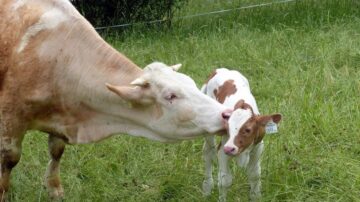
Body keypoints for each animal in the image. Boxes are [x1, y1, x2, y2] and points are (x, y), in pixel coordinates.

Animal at [0, 0, 231, 200]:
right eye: (170, 96)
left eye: (191, 83)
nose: (227, 114)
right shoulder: (10, 117)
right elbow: (10, 158)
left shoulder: (61, 116)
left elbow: (57, 151)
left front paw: (54, 189)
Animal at [201, 68, 282, 202]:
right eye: (227, 128)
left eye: (248, 130)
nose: (230, 148)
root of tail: (219, 70)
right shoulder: (222, 149)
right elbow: (225, 180)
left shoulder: (258, 147)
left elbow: (254, 174)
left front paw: (255, 197)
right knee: (208, 152)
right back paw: (207, 187)